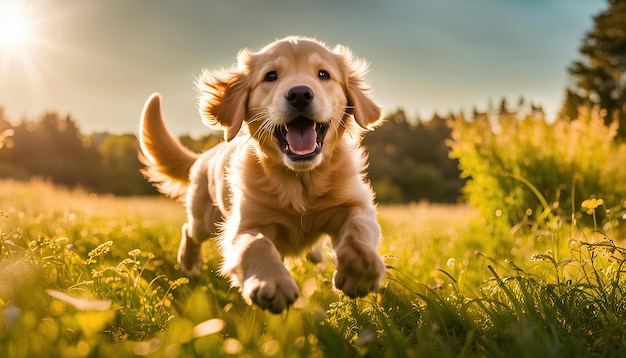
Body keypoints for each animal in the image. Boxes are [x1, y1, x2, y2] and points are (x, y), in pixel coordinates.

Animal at [139, 35, 386, 312]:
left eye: (323, 74)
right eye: (271, 76)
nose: (299, 94)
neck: (300, 180)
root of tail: (206, 154)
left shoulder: (354, 203)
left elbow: (359, 227)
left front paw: (360, 267)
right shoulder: (244, 224)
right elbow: (255, 244)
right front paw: (271, 282)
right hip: (204, 217)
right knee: (190, 231)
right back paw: (189, 262)